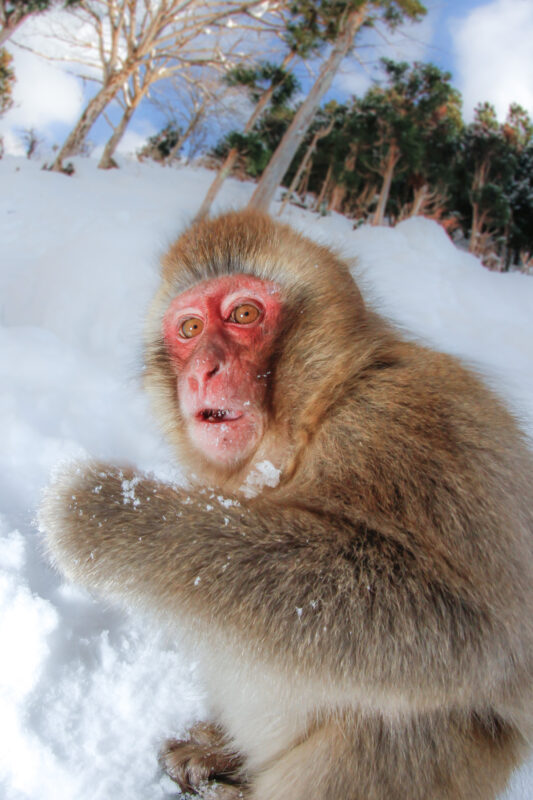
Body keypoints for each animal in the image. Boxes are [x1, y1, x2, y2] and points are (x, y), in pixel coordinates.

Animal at [39, 209, 533, 800]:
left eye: (244, 314)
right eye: (190, 329)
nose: (201, 369)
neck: (308, 422)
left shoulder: (404, 427)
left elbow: (469, 632)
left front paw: (108, 514)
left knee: (406, 722)